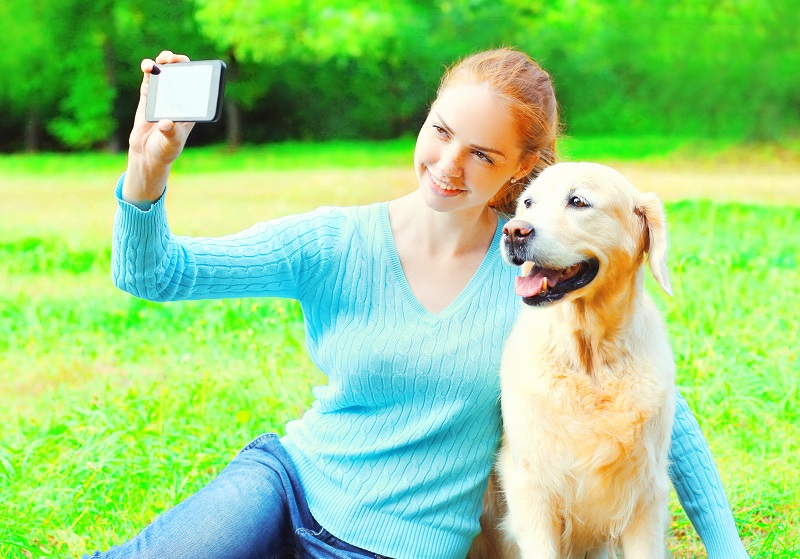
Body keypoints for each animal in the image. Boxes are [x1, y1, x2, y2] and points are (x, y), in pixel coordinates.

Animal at [466, 162, 680, 559]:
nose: (513, 231)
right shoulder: (531, 490)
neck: (590, 359)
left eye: (578, 201)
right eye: (528, 203)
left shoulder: (646, 494)